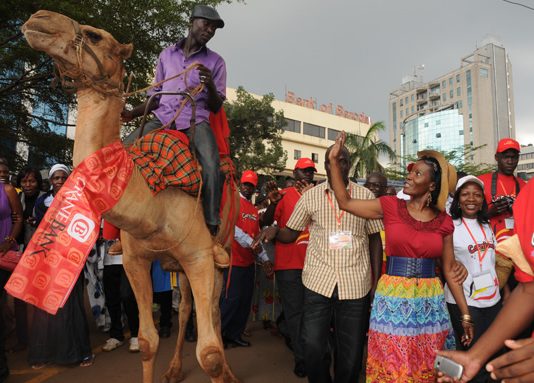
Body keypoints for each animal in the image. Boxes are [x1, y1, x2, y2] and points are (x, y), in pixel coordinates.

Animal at [22, 9, 241, 383]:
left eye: (94, 35)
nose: (39, 18)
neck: (155, 203)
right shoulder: (135, 260)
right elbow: (148, 340)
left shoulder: (199, 256)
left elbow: (209, 353)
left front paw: (222, 370)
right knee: (187, 308)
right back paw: (174, 369)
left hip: (220, 249)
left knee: (211, 308)